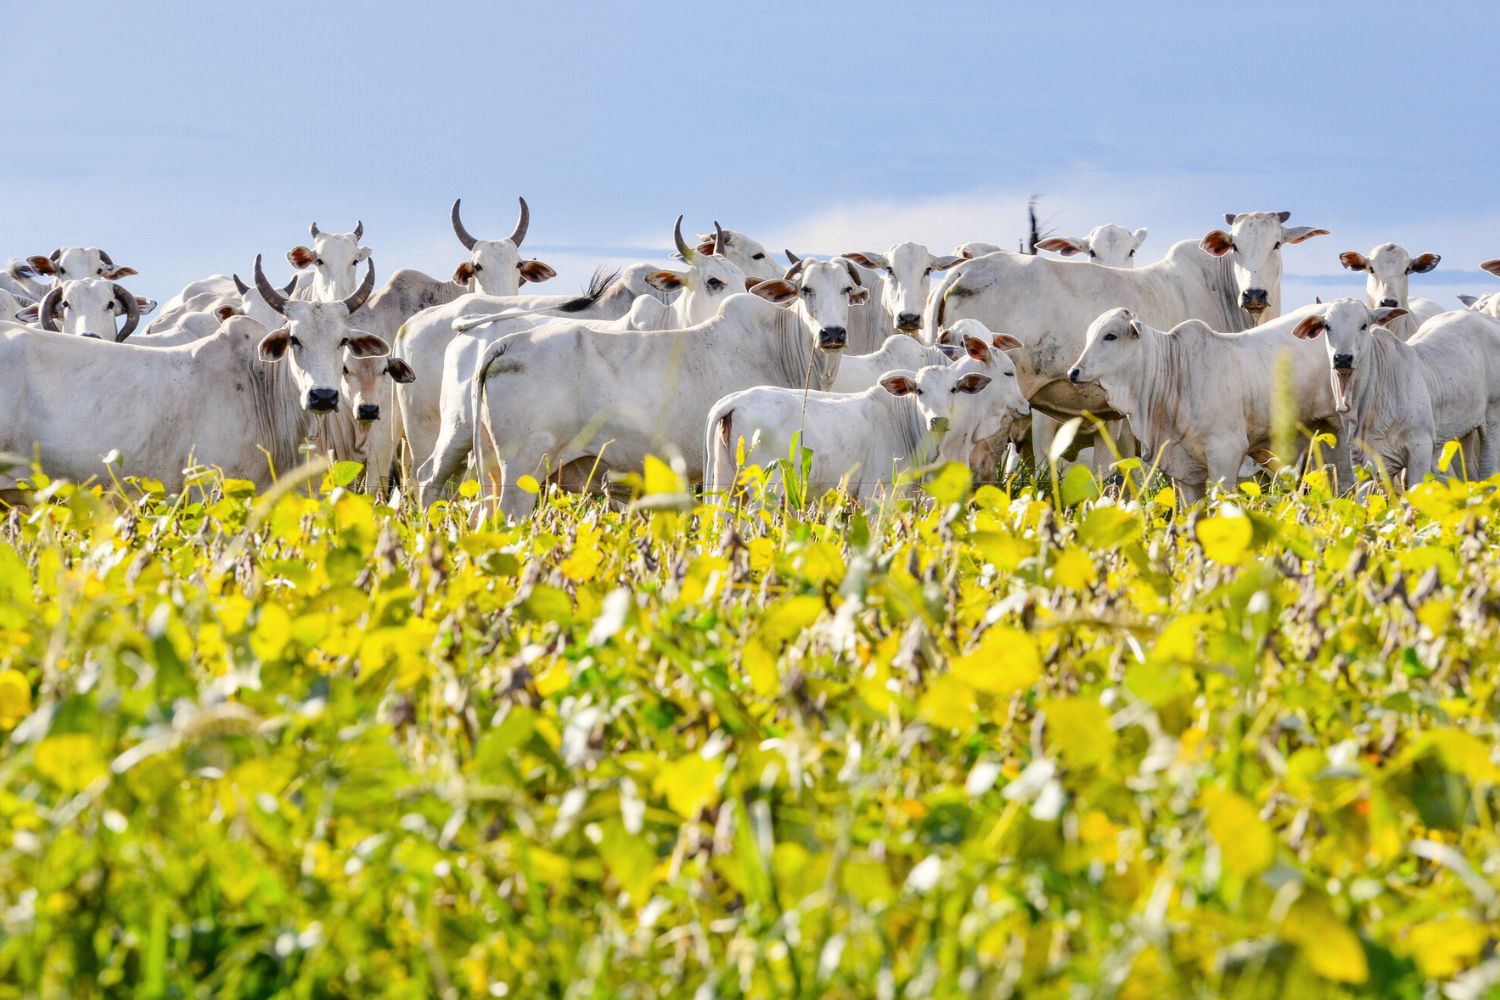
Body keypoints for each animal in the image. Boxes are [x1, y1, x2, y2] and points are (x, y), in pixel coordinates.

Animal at [468, 257, 870, 521]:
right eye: (806, 290)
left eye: (847, 289)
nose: (832, 333)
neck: (780, 346)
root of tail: (508, 344)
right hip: (523, 471)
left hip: (492, 471)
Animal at [1284, 299, 1500, 482]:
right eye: (1327, 326)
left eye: (1364, 325)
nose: (1342, 358)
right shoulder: (1358, 458)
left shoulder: (1421, 449)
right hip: (1461, 431)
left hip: (1492, 421)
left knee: (1488, 472)